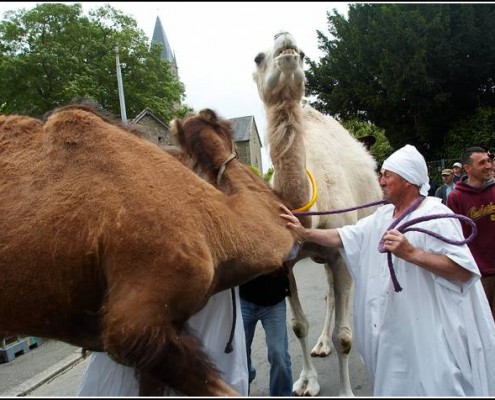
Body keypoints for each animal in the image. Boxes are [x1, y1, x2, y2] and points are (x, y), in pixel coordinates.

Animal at [252, 32, 384, 396]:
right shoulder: (286, 262)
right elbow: (298, 325)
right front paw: (306, 381)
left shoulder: (340, 251)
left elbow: (345, 337)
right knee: (327, 294)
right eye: (257, 57)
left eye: (302, 54)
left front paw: (347, 391)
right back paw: (321, 344)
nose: (285, 40)